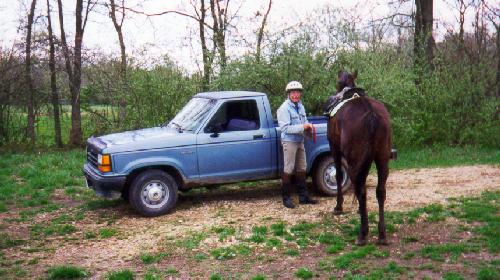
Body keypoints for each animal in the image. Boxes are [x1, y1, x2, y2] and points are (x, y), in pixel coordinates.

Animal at [326, 71, 392, 246]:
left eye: (337, 82)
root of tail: (371, 113)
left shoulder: (334, 149)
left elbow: (338, 176)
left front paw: (339, 206)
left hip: (354, 162)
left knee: (361, 190)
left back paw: (363, 233)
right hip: (382, 159)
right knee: (380, 191)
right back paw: (382, 234)